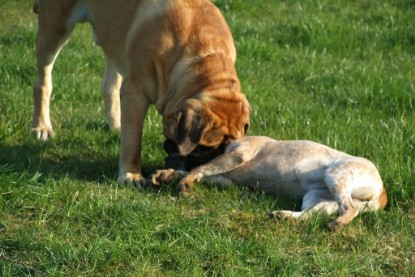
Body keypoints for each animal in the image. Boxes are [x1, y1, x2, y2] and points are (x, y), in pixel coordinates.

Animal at [31, 1, 250, 185]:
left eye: (226, 149)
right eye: (203, 148)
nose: (209, 163)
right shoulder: (135, 92)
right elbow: (133, 140)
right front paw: (131, 175)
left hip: (113, 40)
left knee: (109, 85)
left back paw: (116, 125)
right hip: (54, 27)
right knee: (42, 82)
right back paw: (41, 127)